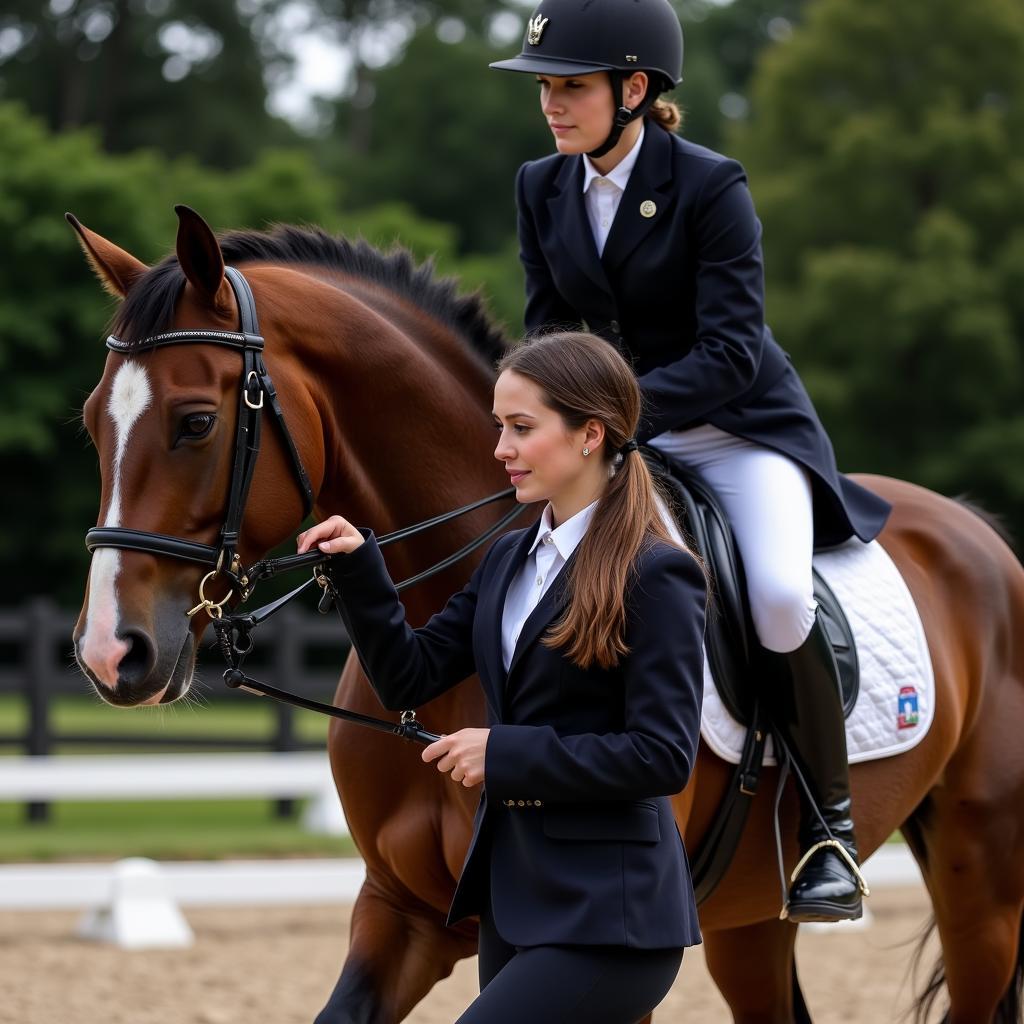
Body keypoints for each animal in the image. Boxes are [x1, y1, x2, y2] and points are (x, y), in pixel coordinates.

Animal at [72, 203, 1024, 1019]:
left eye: (197, 422)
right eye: (91, 423)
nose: (110, 654)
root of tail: (978, 531)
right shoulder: (400, 914)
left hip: (983, 884)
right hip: (751, 920)